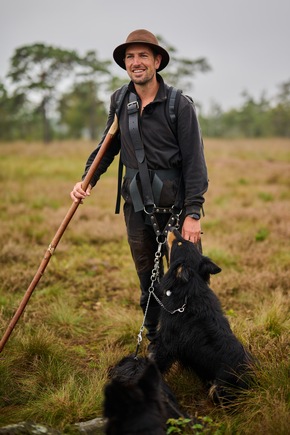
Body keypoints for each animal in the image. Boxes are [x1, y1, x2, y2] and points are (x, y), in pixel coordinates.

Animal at [152, 230, 254, 404]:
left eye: (180, 243)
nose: (172, 227)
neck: (189, 287)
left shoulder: (167, 341)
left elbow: (156, 361)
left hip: (220, 387)